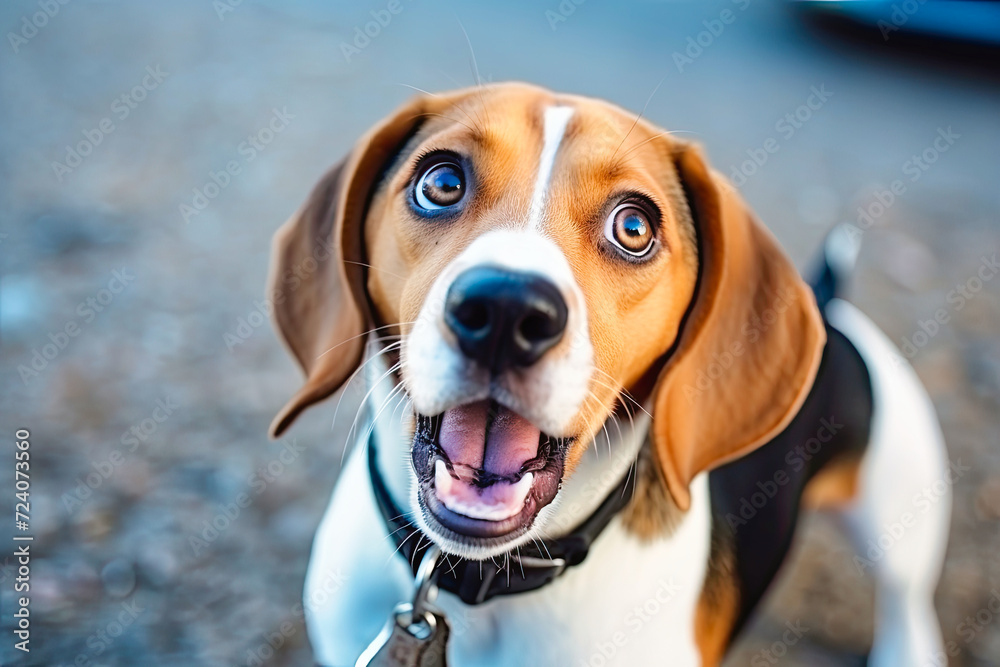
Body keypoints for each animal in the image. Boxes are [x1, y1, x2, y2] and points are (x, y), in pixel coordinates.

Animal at [268, 83, 952, 667]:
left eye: (634, 226)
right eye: (441, 182)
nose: (507, 310)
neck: (476, 582)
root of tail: (829, 305)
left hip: (902, 521)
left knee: (906, 599)